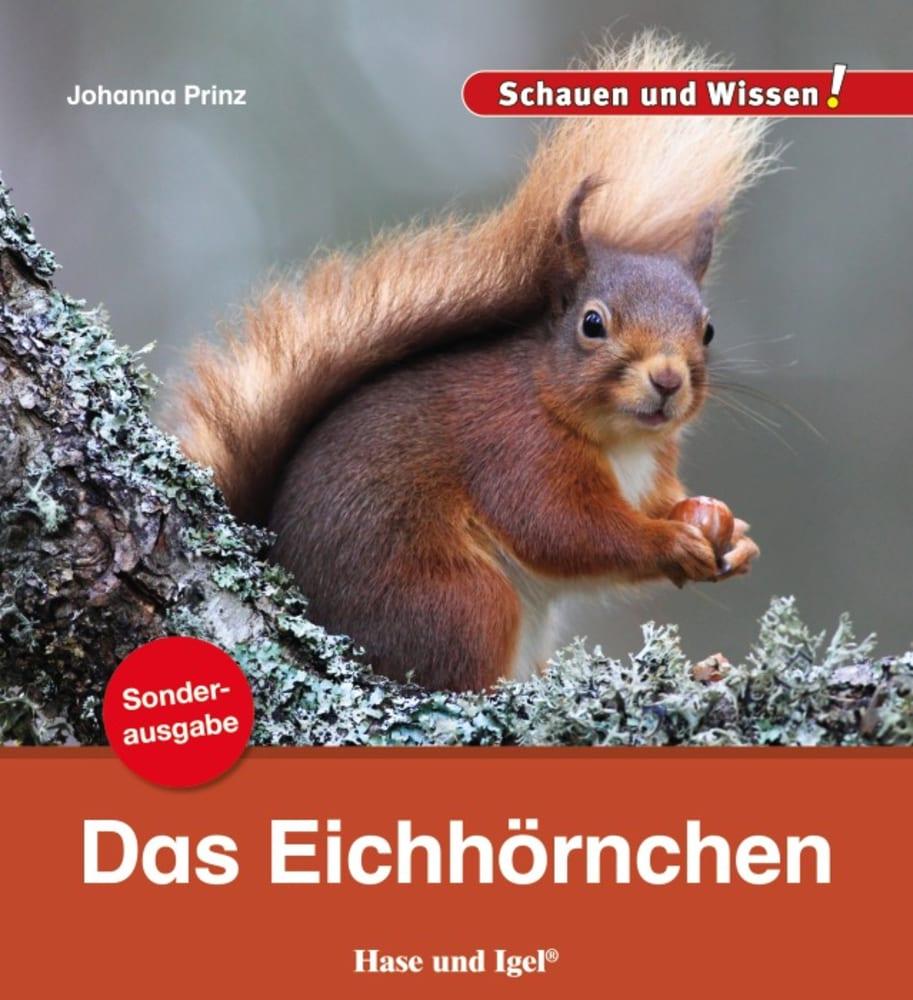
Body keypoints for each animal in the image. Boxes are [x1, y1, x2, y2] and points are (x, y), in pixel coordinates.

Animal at [171, 34, 773, 691]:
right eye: (592, 324)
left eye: (708, 329)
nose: (667, 379)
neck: (621, 442)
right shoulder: (516, 451)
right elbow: (564, 530)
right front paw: (668, 541)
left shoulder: (651, 469)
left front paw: (727, 530)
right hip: (461, 600)